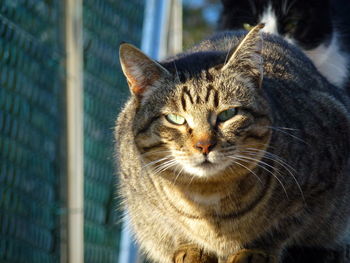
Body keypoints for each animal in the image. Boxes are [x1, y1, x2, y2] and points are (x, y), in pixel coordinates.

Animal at [117, 24, 350, 263]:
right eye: (175, 119)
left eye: (228, 114)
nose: (204, 145)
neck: (208, 197)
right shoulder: (144, 207)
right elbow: (171, 228)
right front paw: (192, 249)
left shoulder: (317, 190)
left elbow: (281, 227)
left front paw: (254, 251)